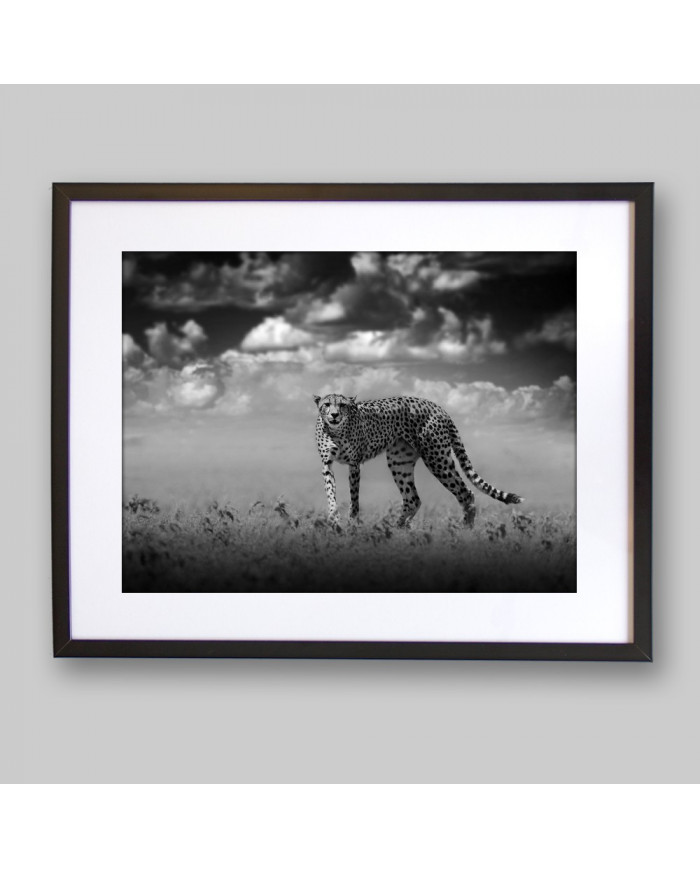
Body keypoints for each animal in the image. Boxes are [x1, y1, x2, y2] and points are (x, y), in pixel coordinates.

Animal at [314, 393, 523, 528]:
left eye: (342, 405)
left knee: (466, 494)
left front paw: (352, 523)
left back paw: (465, 530)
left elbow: (354, 498)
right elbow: (330, 493)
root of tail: (437, 406)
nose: (334, 415)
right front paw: (333, 520)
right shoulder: (327, 464)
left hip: (436, 457)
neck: (335, 431)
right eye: (327, 404)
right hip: (399, 461)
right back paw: (395, 529)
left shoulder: (354, 464)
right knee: (413, 499)